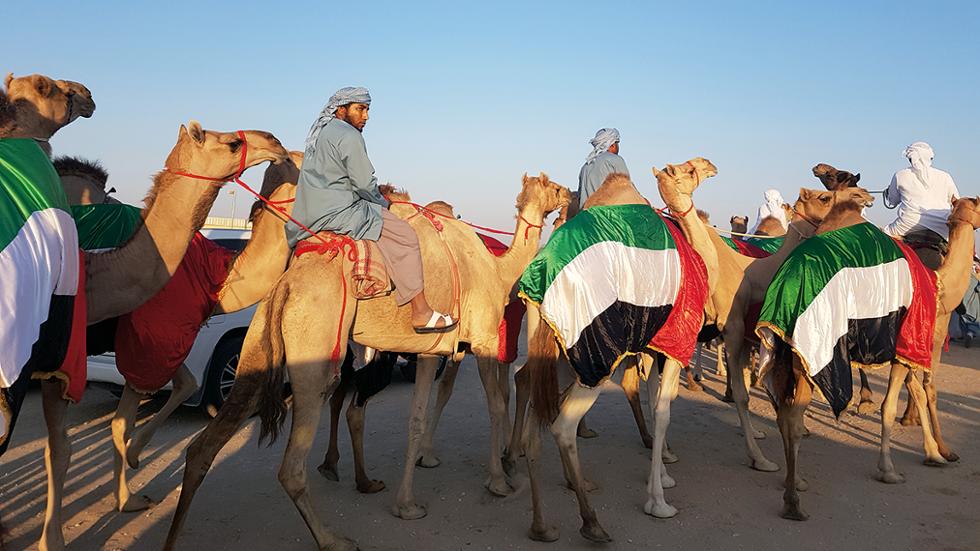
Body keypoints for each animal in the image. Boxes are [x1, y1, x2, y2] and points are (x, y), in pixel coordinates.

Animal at [164, 174, 572, 551]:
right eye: (553, 186)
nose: (568, 195)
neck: (498, 272)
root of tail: (287, 284)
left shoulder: (430, 350)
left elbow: (417, 417)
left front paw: (407, 504)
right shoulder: (485, 339)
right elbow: (496, 405)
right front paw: (500, 480)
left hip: (259, 346)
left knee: (204, 446)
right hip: (316, 349)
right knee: (292, 463)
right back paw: (333, 539)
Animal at [756, 197, 980, 520]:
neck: (938, 285)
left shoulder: (910, 352)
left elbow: (918, 393)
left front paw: (936, 453)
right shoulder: (908, 346)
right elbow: (895, 404)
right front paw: (890, 470)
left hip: (786, 350)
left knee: (785, 413)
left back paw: (795, 482)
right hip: (813, 350)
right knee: (793, 416)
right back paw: (793, 502)